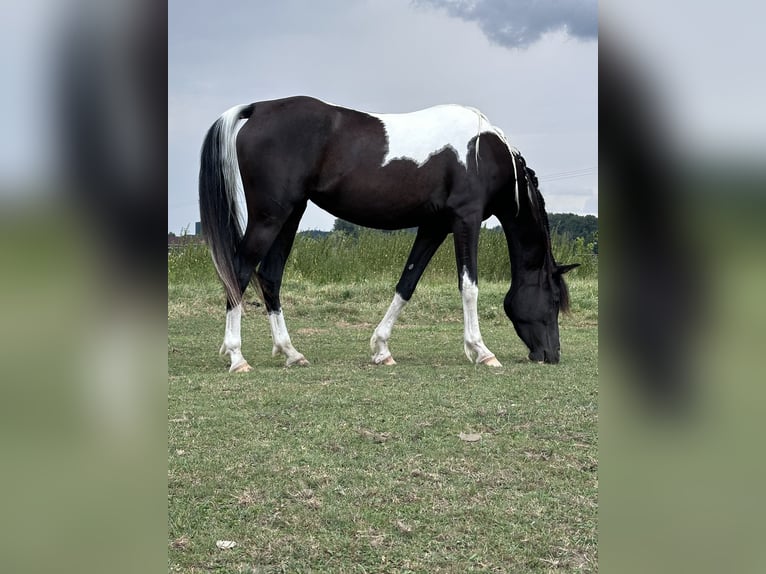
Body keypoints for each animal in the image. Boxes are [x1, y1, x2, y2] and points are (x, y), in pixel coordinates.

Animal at [198, 95, 576, 374]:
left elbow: (407, 283)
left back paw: (292, 353)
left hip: (290, 215)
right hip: (269, 218)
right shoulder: (464, 220)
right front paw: (481, 351)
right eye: (553, 300)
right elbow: (469, 286)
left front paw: (381, 349)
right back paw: (237, 358)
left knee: (269, 277)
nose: (552, 355)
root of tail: (259, 108)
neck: (483, 151)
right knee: (239, 272)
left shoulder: (434, 225)